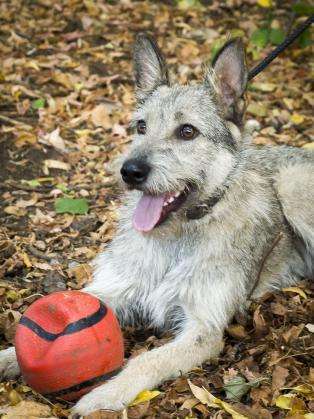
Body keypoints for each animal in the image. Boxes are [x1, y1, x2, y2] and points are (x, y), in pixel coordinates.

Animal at [0, 33, 314, 416]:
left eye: (187, 131)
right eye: (141, 127)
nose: (130, 171)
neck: (177, 236)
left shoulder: (202, 329)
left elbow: (146, 361)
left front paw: (103, 396)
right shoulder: (118, 289)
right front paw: (8, 357)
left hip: (292, 185)